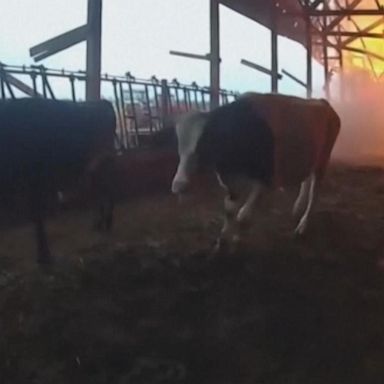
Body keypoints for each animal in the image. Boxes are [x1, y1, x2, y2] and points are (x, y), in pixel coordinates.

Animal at [0, 97, 117, 264]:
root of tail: (101, 102)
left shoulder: (34, 179)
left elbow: (36, 215)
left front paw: (44, 256)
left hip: (104, 159)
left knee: (108, 189)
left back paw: (107, 221)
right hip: (95, 166)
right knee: (100, 190)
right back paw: (100, 224)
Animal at [170, 91, 340, 250]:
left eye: (204, 143)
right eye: (179, 146)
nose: (178, 185)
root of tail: (322, 102)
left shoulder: (266, 180)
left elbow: (243, 216)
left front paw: (237, 240)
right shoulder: (230, 180)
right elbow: (229, 210)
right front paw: (222, 241)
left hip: (323, 159)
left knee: (314, 193)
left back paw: (302, 226)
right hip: (310, 158)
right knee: (306, 181)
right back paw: (298, 208)